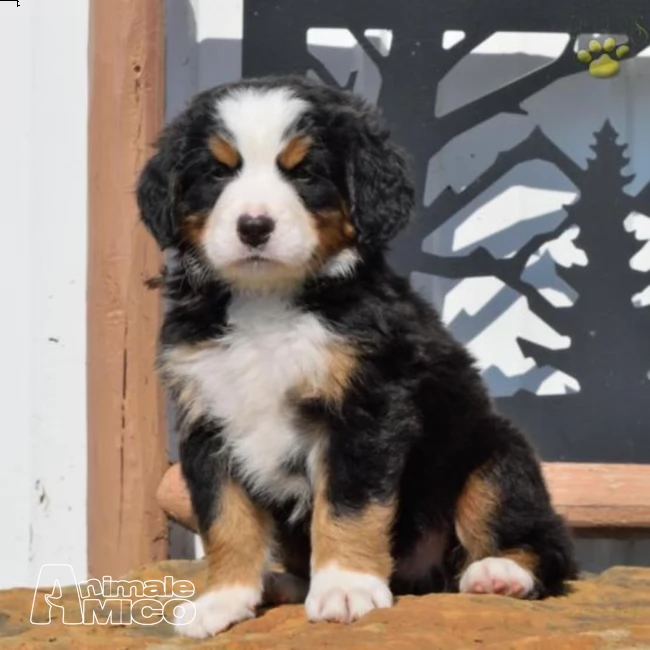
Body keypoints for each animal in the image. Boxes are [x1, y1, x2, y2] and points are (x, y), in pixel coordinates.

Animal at [135, 74, 572, 632]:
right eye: (218, 171)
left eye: (304, 173)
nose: (253, 226)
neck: (267, 301)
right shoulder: (208, 418)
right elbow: (226, 519)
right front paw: (224, 599)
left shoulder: (365, 408)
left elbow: (347, 506)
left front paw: (344, 587)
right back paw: (282, 583)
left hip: (493, 453)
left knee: (537, 537)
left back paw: (501, 573)